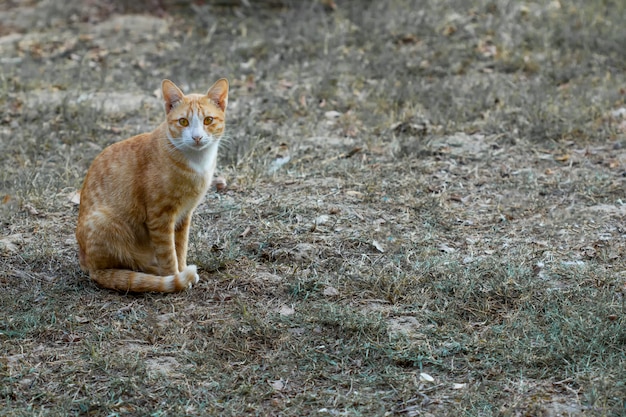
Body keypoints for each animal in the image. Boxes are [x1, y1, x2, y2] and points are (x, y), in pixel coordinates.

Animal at [74, 79, 228, 292]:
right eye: (183, 122)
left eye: (208, 120)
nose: (197, 137)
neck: (196, 162)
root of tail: (87, 264)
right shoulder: (160, 217)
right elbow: (168, 253)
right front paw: (175, 278)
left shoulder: (184, 215)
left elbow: (180, 248)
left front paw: (181, 270)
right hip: (104, 222)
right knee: (122, 267)